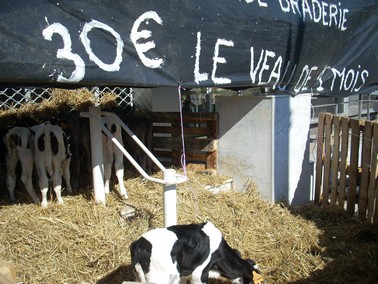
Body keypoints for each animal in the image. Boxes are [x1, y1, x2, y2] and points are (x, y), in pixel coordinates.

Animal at [130, 222, 262, 284]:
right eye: (251, 278)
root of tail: (139, 243)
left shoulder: (184, 273)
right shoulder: (199, 274)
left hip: (139, 276)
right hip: (159, 278)